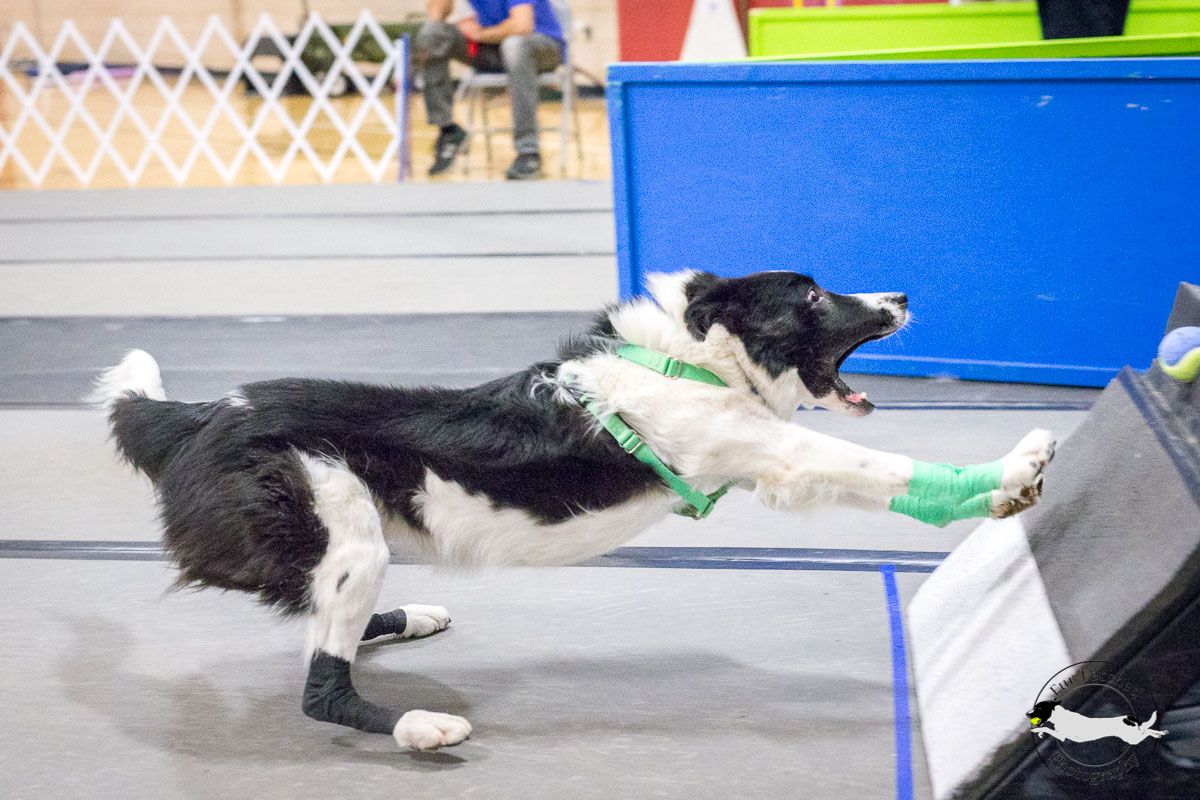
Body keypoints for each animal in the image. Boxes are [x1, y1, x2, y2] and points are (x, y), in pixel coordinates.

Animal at [94, 269, 1054, 752]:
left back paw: (408, 620)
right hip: (339, 523)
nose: (901, 296)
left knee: (324, 627)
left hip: (350, 539)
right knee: (321, 687)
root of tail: (193, 417)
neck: (692, 359)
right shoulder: (763, 448)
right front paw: (1011, 471)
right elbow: (885, 468)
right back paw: (420, 727)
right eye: (813, 296)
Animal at [1028, 700, 1168, 745]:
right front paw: (1039, 733)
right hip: (1135, 735)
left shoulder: (1061, 736)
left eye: (1039, 708)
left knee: (1146, 732)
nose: (1027, 714)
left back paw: (1157, 734)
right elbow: (1046, 728)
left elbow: (1046, 728)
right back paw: (1159, 733)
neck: (1060, 716)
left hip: (1132, 739)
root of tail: (1128, 718)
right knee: (1147, 729)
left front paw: (1036, 730)